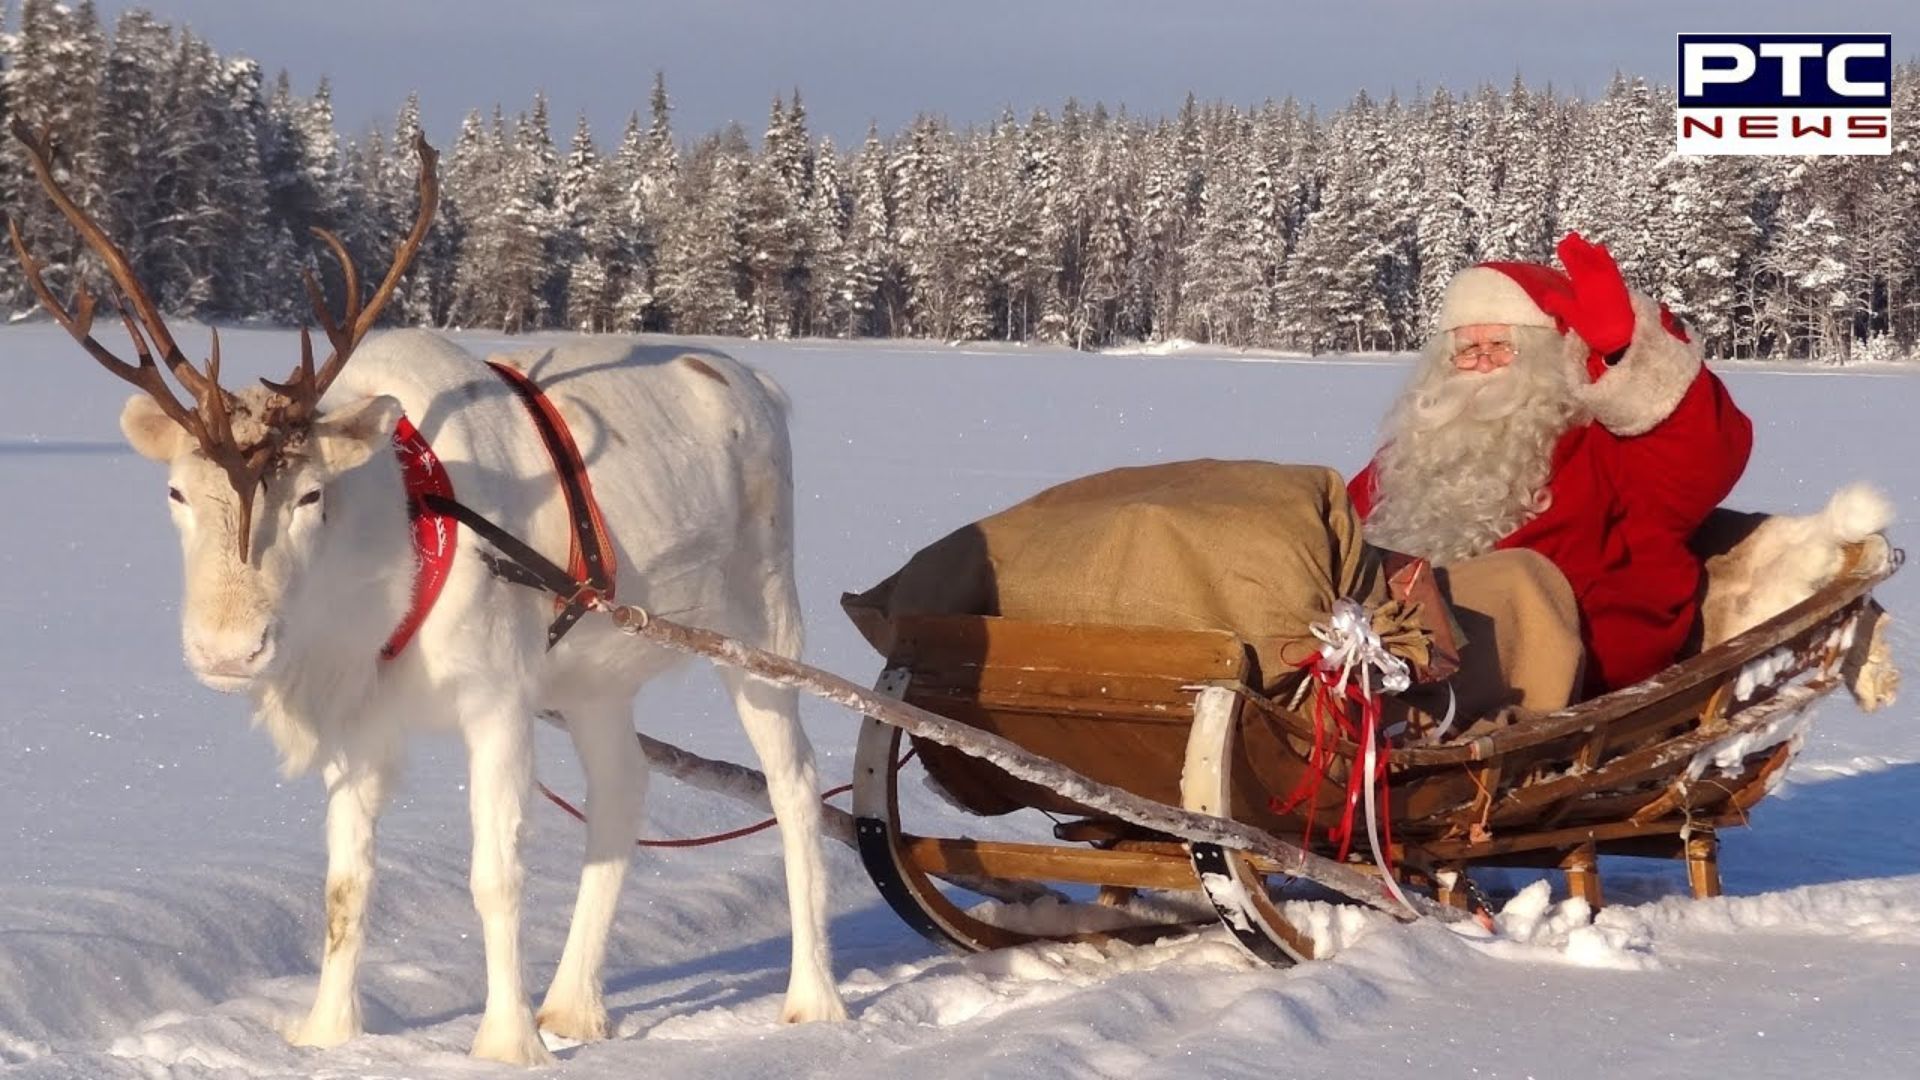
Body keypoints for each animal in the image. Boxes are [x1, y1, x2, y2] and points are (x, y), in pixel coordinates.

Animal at [5, 121, 847, 1066]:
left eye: (311, 495)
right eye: (177, 492)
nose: (227, 648)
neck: (376, 575)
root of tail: (763, 386)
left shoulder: (499, 701)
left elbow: (496, 876)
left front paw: (506, 1041)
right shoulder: (361, 724)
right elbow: (345, 886)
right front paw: (327, 1032)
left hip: (764, 624)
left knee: (793, 784)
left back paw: (811, 999)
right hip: (593, 675)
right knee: (623, 789)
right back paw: (574, 1004)